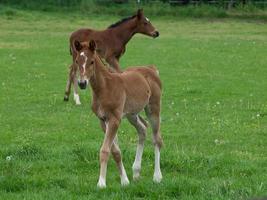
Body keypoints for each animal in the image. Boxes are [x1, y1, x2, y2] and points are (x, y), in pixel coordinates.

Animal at [74, 40, 164, 188]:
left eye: (91, 62)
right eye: (77, 61)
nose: (82, 83)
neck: (105, 87)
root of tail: (151, 69)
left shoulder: (115, 119)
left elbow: (105, 150)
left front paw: (101, 183)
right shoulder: (103, 120)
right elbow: (115, 151)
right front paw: (124, 180)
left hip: (153, 108)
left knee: (157, 139)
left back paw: (157, 176)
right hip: (132, 114)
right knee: (142, 129)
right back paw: (136, 172)